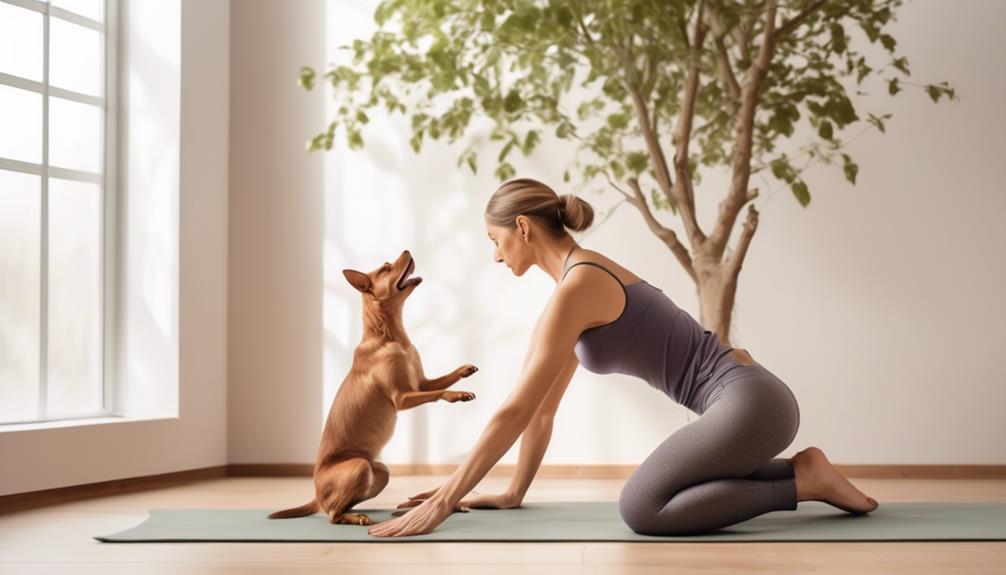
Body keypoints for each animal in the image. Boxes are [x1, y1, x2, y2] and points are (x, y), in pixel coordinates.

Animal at [267, 248, 478, 526]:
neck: (389, 335)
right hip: (360, 467)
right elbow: (437, 393)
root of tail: (315, 493)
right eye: (385, 268)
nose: (407, 250)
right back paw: (356, 517)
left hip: (380, 472)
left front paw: (464, 370)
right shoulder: (402, 397)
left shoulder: (420, 383)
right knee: (332, 515)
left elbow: (443, 379)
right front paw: (457, 394)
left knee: (340, 505)